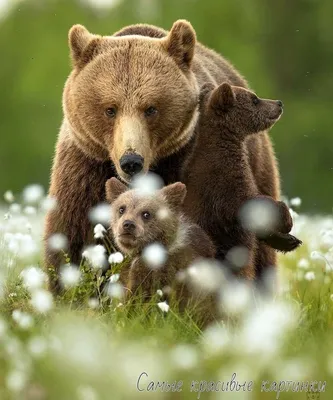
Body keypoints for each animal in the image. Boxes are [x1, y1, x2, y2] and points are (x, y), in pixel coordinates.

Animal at [43, 20, 282, 290]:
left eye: (151, 109)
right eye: (110, 109)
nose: (131, 162)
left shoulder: (194, 164)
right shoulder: (87, 165)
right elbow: (73, 235)